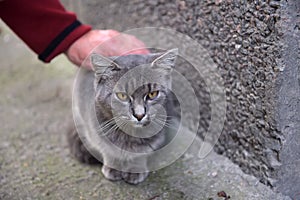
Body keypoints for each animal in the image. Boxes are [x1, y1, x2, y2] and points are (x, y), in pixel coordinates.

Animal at [67, 48, 177, 184]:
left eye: (152, 94)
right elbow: (109, 151)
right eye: (122, 96)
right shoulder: (96, 133)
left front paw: (135, 169)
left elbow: (141, 152)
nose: (139, 115)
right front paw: (113, 168)